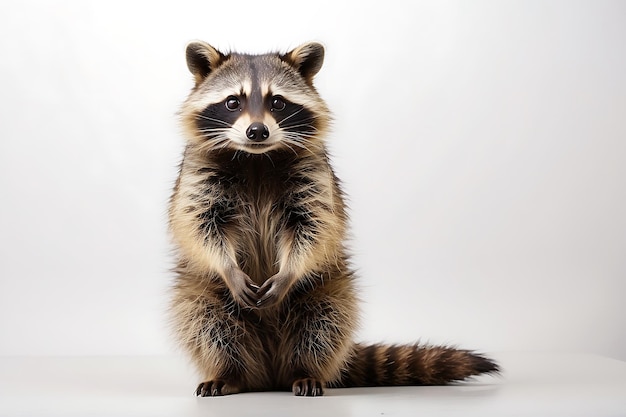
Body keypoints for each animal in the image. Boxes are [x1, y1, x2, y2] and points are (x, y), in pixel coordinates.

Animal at [167, 40, 498, 394]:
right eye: (232, 102)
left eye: (277, 102)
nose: (257, 131)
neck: (257, 158)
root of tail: (270, 372)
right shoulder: (199, 171)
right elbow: (199, 223)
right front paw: (227, 267)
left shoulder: (313, 172)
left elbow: (314, 225)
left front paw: (289, 271)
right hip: (200, 290)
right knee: (207, 322)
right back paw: (230, 373)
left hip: (329, 286)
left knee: (324, 323)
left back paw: (304, 370)